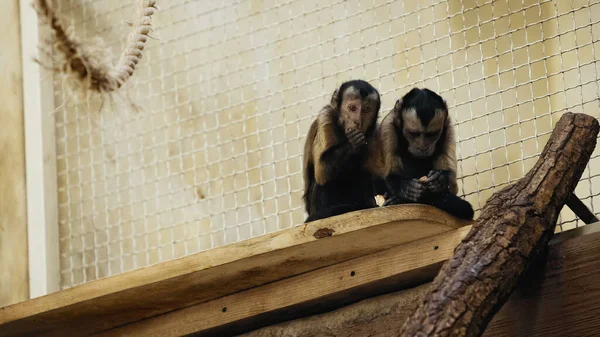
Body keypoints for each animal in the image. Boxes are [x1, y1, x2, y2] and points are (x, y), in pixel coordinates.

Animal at [302, 79, 382, 222]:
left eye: (366, 110)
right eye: (352, 108)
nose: (357, 122)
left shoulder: (373, 133)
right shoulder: (326, 117)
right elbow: (322, 171)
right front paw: (352, 143)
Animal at [376, 86, 474, 219]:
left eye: (431, 134)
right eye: (413, 133)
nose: (422, 148)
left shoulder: (448, 126)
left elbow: (453, 186)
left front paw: (440, 180)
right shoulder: (388, 127)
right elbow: (390, 175)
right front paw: (407, 189)